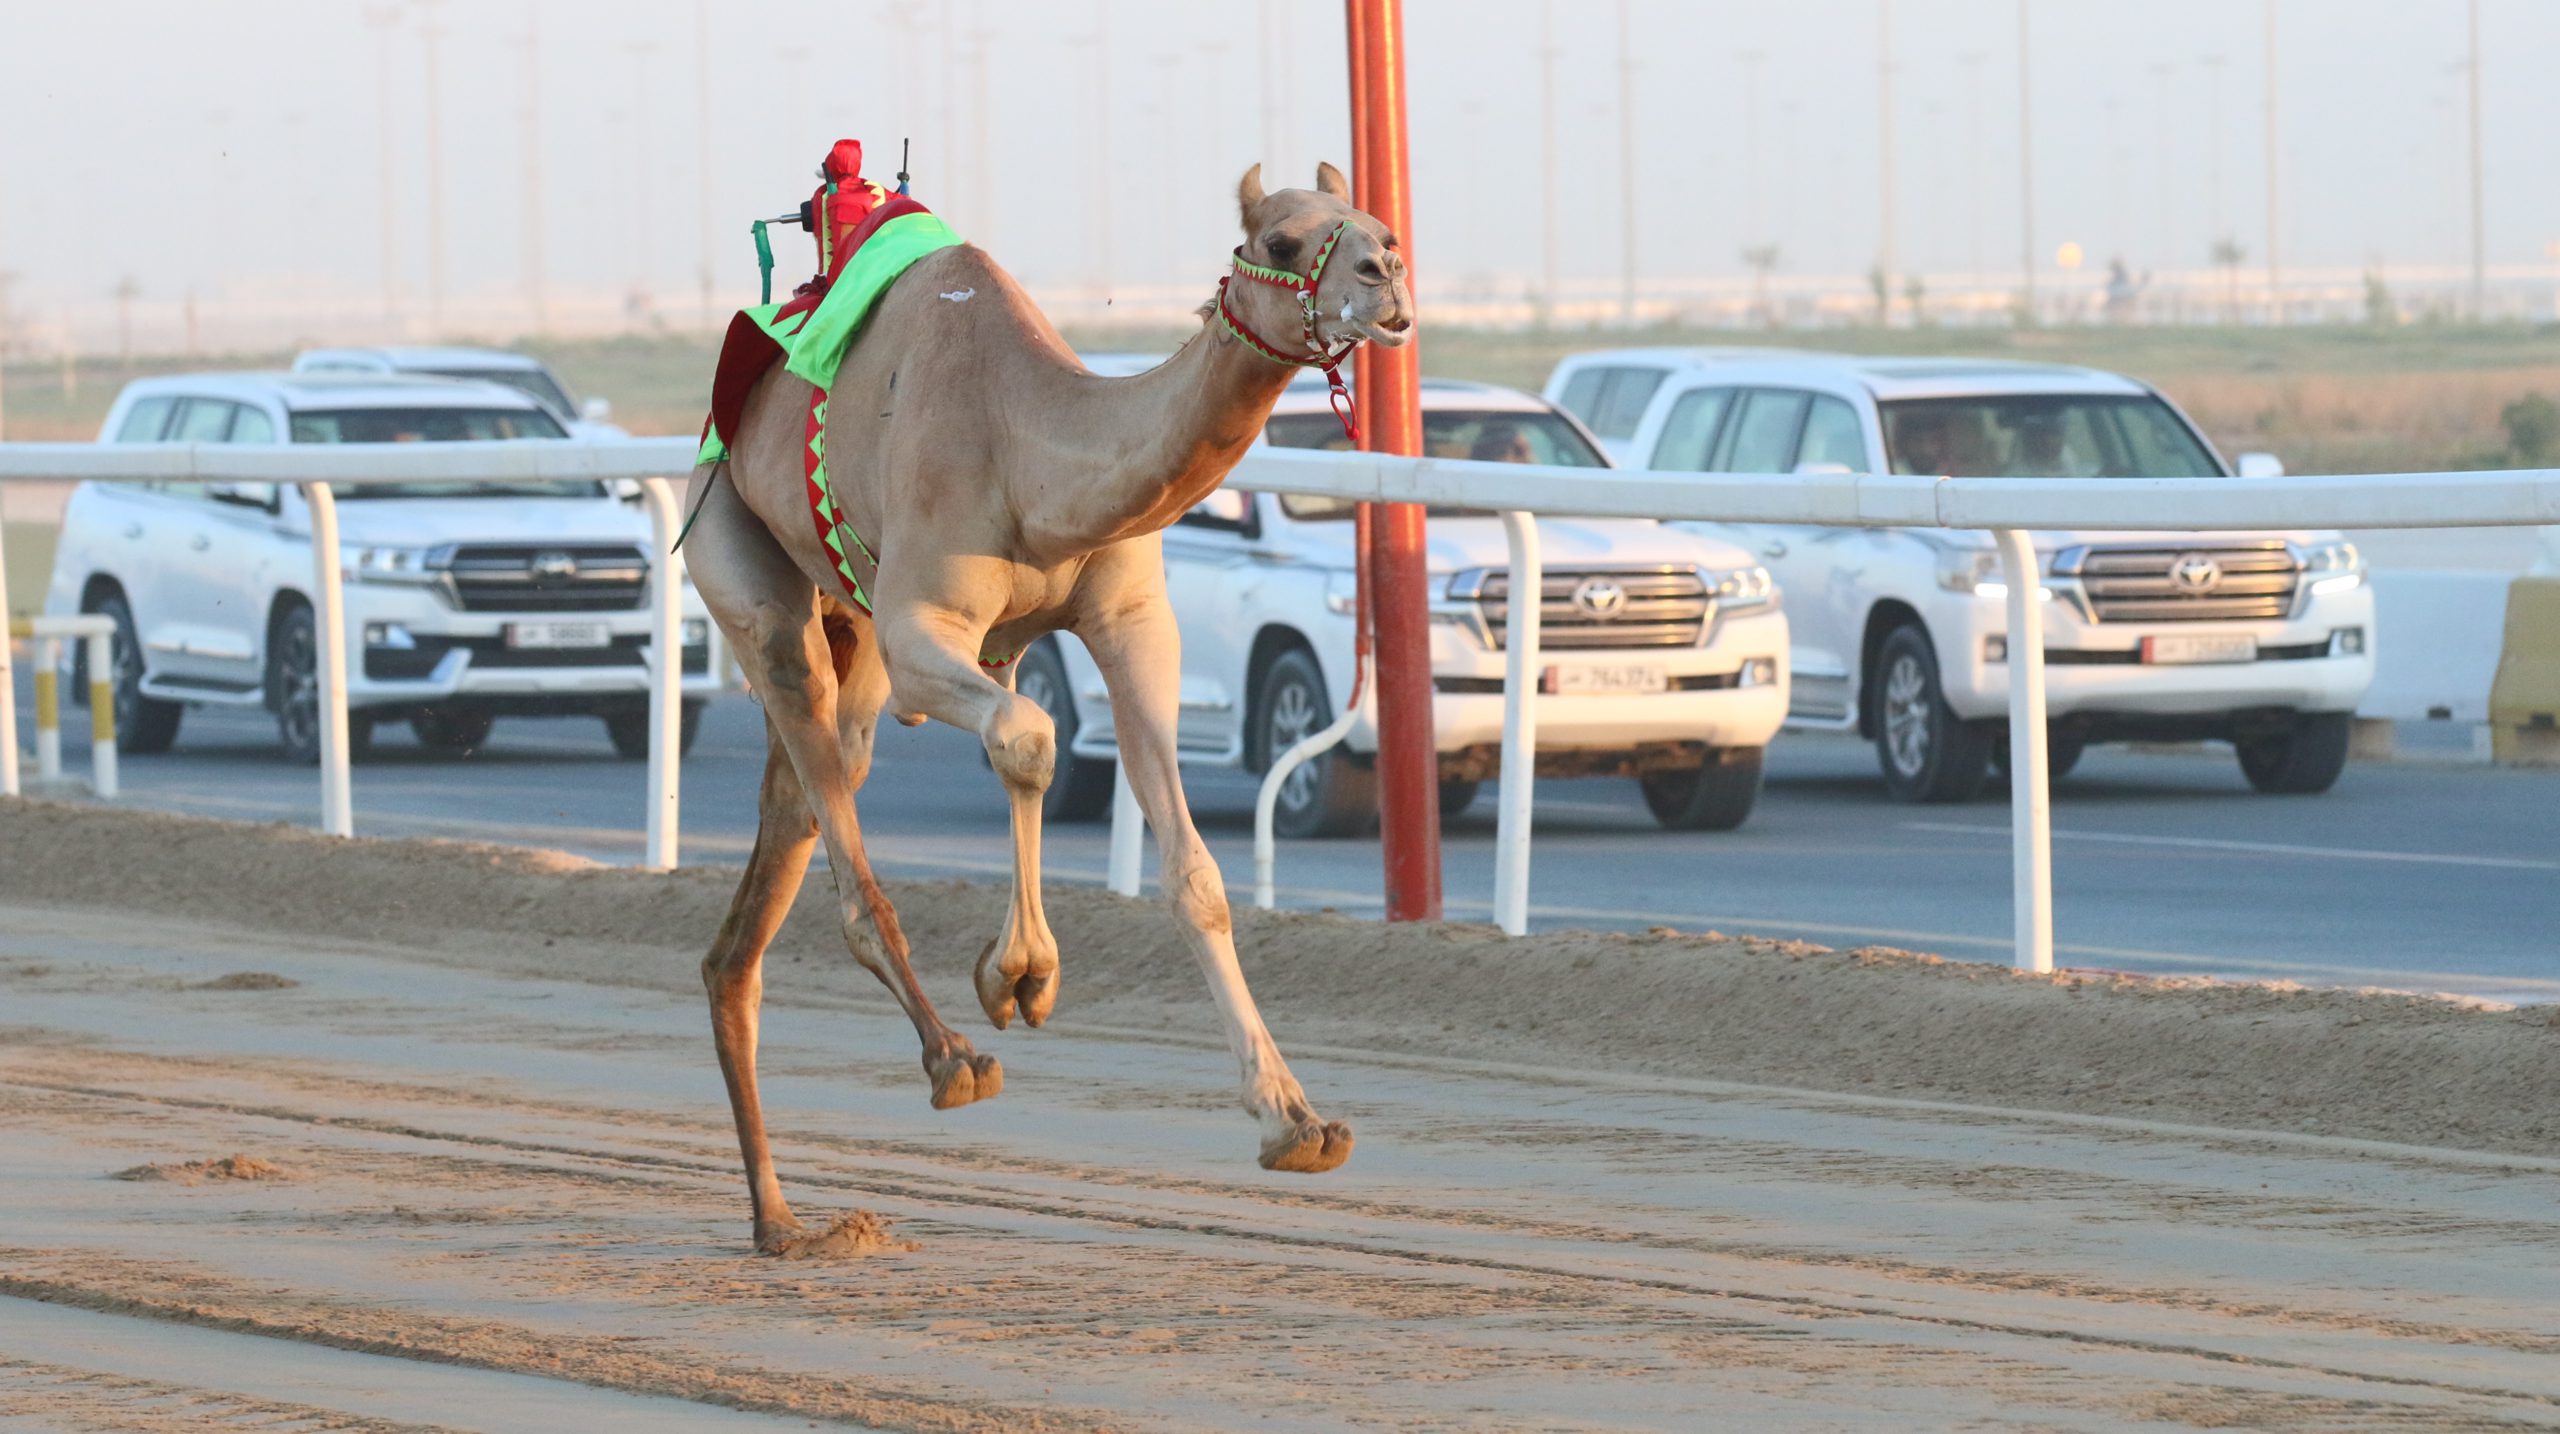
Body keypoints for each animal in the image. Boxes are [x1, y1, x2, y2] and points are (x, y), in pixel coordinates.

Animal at [680, 159, 1423, 1254]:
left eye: (1381, 225)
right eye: (1282, 241)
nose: (1386, 281)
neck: (1028, 457)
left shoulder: (1131, 625)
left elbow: (1193, 871)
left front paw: (1295, 1119)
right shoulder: (921, 627)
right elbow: (1028, 740)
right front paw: (1018, 973)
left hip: (848, 627)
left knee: (800, 815)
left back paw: (782, 1222)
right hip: (745, 568)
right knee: (823, 767)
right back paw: (948, 1061)